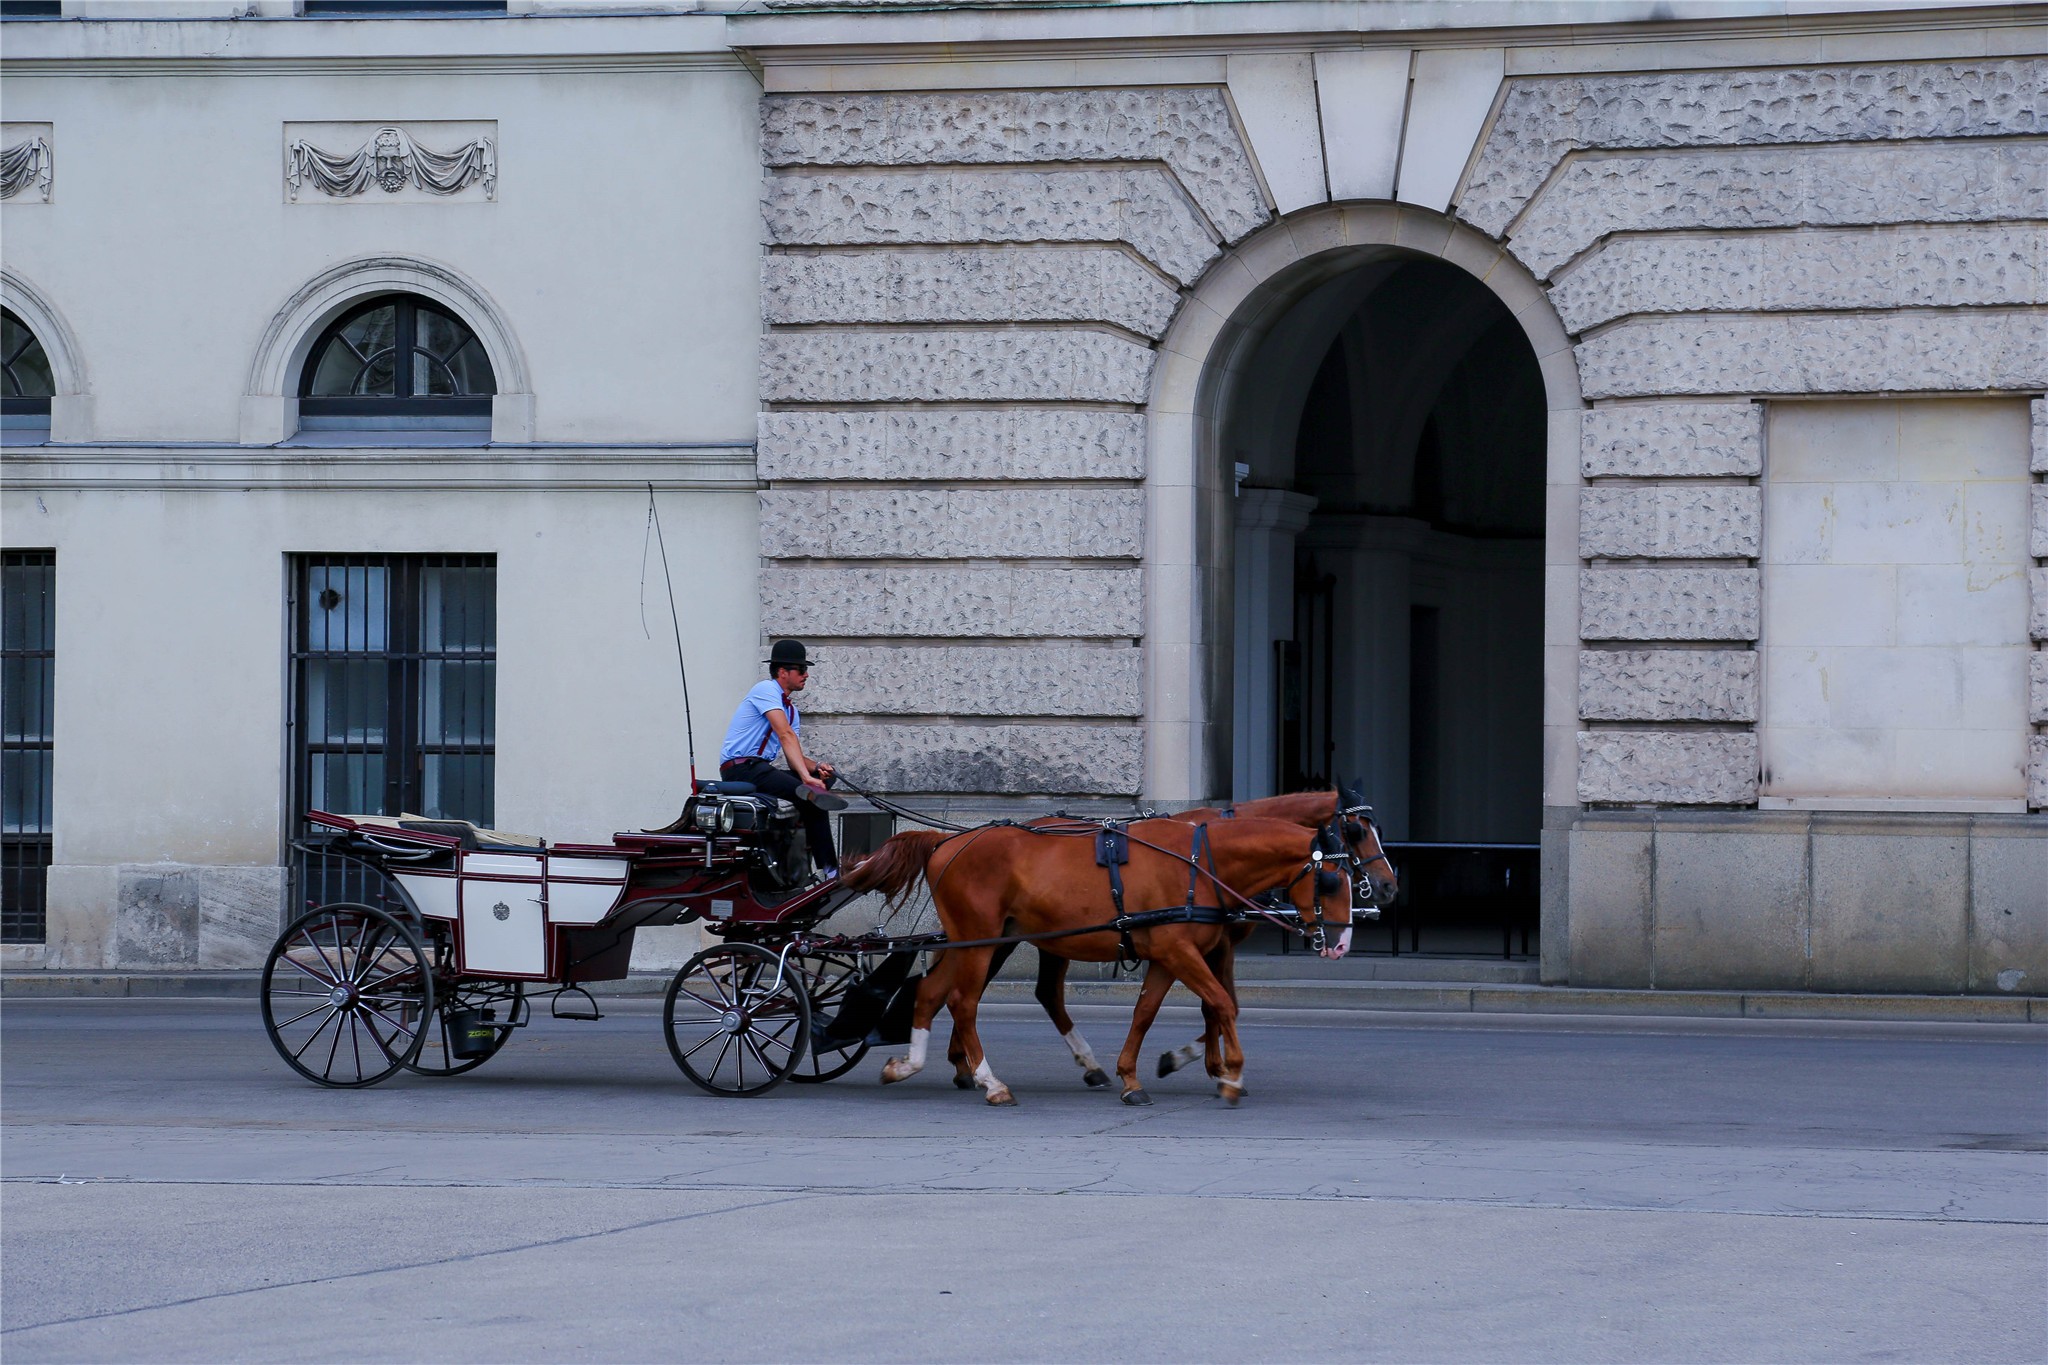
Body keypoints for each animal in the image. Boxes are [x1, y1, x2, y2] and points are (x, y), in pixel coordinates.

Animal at [839, 818, 1351, 1105]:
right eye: (1330, 881)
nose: (1342, 943)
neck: (1200, 864)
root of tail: (946, 841)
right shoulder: (1179, 951)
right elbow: (1222, 1004)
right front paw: (1232, 1073)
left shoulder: (1167, 956)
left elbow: (1146, 1013)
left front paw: (1133, 1075)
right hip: (980, 941)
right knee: (964, 1002)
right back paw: (990, 1081)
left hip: (976, 939)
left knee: (930, 993)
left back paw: (910, 1064)